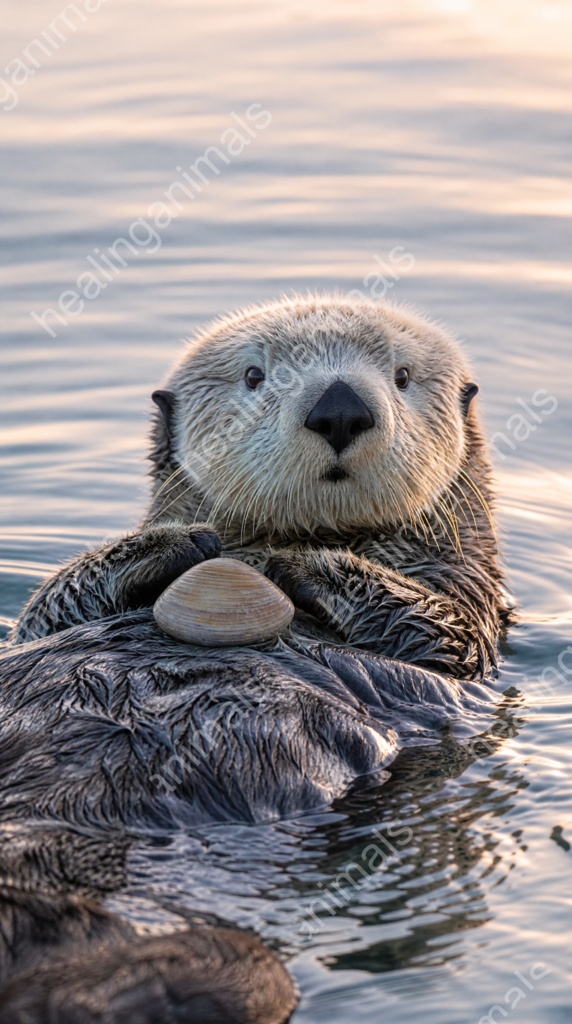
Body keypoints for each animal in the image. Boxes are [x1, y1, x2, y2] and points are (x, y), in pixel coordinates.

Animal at [0, 294, 510, 1021]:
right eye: (254, 375)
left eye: (403, 376)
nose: (340, 407)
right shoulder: (45, 620)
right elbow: (49, 606)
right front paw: (177, 540)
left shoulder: (468, 610)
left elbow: (440, 632)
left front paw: (292, 563)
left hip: (218, 967)